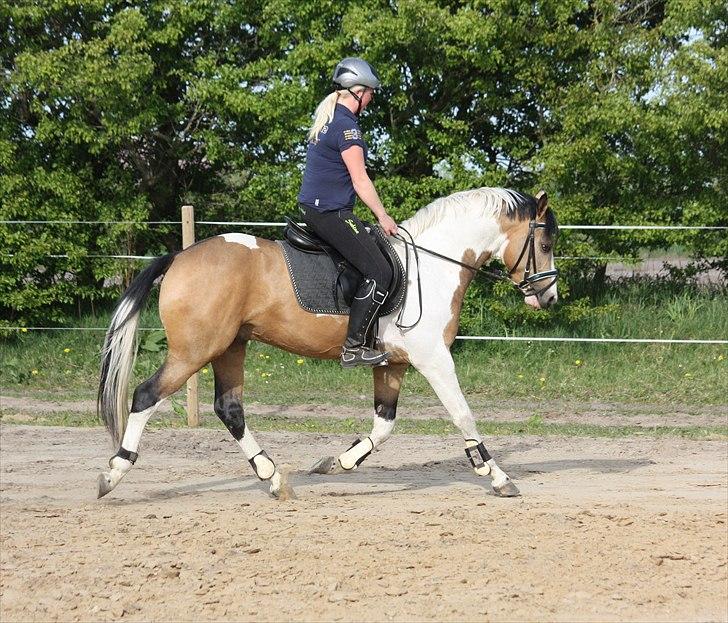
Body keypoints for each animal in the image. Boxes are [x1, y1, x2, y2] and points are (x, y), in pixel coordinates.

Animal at [96, 186, 560, 502]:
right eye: (544, 243)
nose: (549, 297)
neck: (431, 266)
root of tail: (179, 256)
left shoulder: (391, 363)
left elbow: (384, 425)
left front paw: (338, 463)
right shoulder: (433, 358)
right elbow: (463, 414)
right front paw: (496, 475)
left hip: (230, 347)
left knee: (229, 409)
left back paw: (273, 478)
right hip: (195, 351)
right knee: (145, 396)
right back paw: (114, 473)